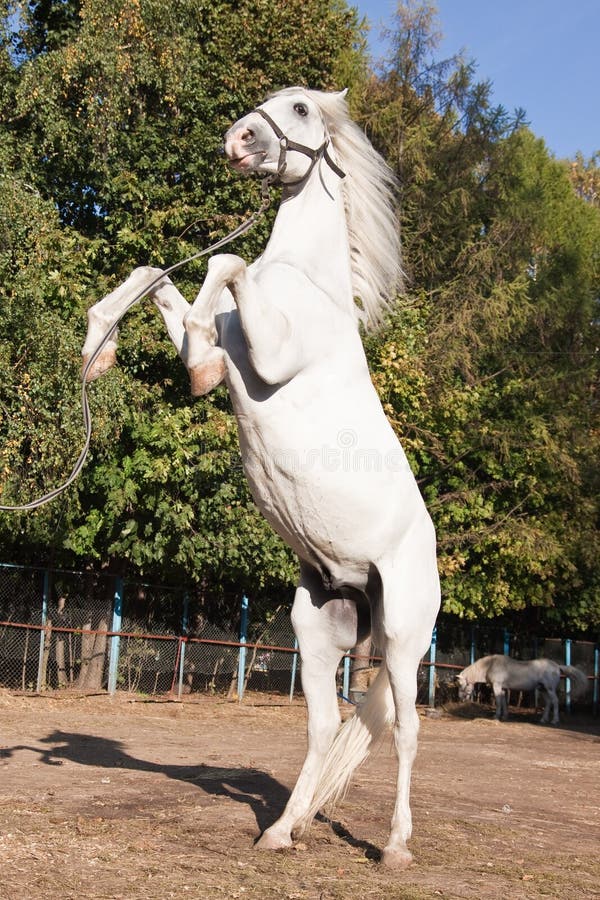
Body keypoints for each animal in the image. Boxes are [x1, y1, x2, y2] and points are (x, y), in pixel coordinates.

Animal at [82, 88, 440, 868]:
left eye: (299, 109)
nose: (237, 141)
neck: (305, 285)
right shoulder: (217, 345)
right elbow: (160, 277)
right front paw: (99, 345)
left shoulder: (269, 357)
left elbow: (225, 258)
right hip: (319, 628)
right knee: (326, 726)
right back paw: (282, 830)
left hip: (403, 636)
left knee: (405, 729)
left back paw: (395, 847)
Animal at [458, 652, 588, 724]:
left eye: (461, 684)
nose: (460, 698)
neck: (491, 665)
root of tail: (557, 666)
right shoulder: (503, 688)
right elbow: (504, 702)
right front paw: (504, 716)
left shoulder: (497, 686)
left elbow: (499, 702)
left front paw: (496, 716)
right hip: (543, 689)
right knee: (548, 703)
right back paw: (543, 720)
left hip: (549, 689)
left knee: (555, 702)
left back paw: (554, 720)